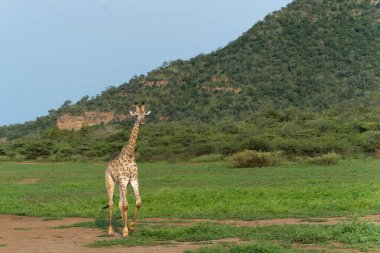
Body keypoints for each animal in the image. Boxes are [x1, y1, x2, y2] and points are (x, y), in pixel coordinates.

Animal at [105, 102, 151, 237]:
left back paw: (122, 225)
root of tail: (107, 166)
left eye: (144, 114)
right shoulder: (125, 180)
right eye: (136, 115)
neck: (130, 155)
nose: (142, 121)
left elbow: (137, 202)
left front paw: (130, 227)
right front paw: (125, 231)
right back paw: (110, 230)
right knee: (111, 203)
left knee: (120, 204)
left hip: (121, 184)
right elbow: (126, 205)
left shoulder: (134, 179)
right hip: (110, 181)